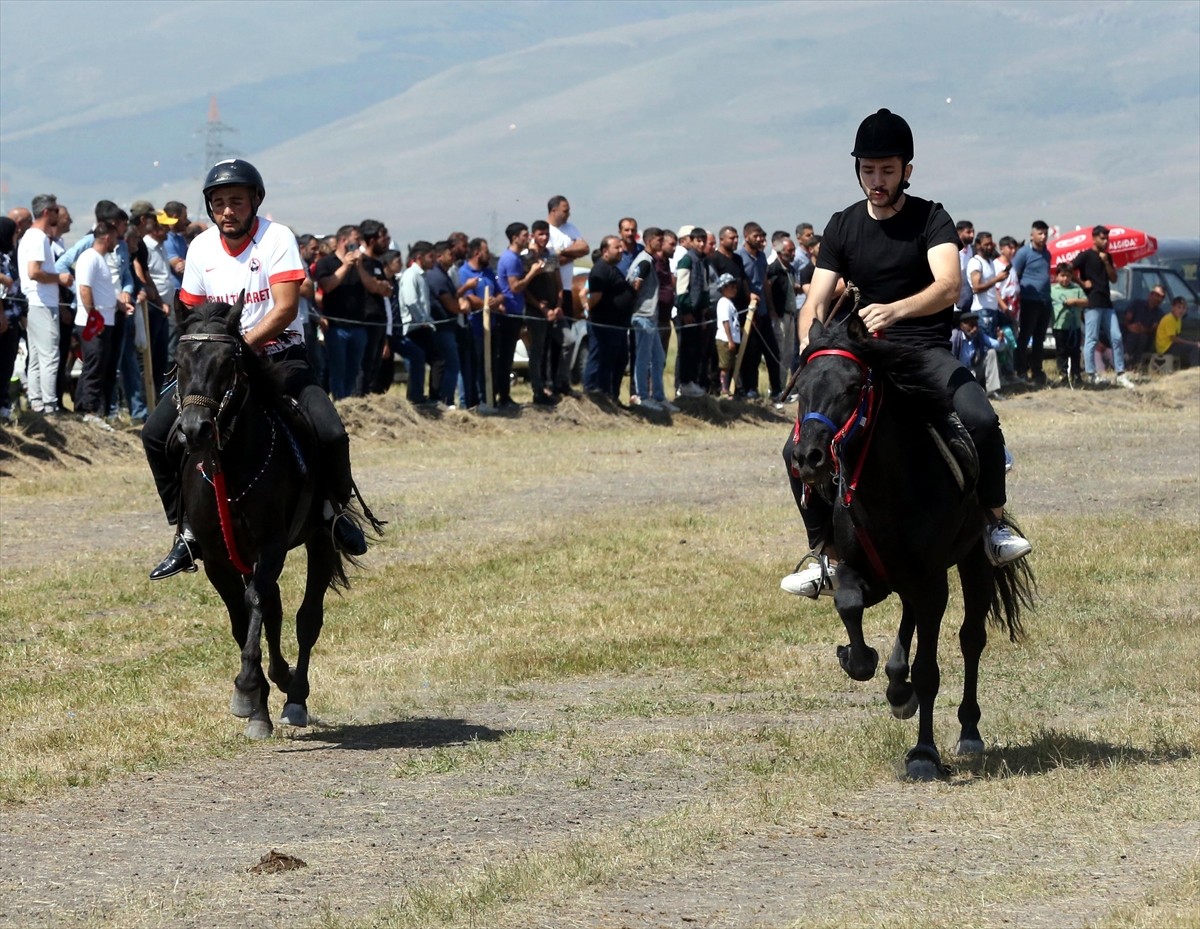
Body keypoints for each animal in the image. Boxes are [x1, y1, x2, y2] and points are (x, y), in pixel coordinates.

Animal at [174, 298, 367, 744]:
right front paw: (257, 702)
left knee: (306, 617)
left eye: (228, 362)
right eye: (177, 360)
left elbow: (258, 604)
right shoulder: (219, 557)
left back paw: (295, 697)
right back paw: (279, 682)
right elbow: (243, 617)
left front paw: (247, 690)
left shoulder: (272, 545)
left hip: (318, 540)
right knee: (275, 610)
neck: (229, 467)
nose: (195, 429)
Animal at [787, 316, 1032, 782]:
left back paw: (968, 730)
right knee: (907, 620)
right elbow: (849, 607)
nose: (807, 457)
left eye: (852, 386)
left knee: (970, 638)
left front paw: (923, 754)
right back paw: (896, 687)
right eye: (799, 387)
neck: (888, 488)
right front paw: (856, 658)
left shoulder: (933, 581)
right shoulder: (855, 569)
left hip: (973, 561)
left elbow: (928, 670)